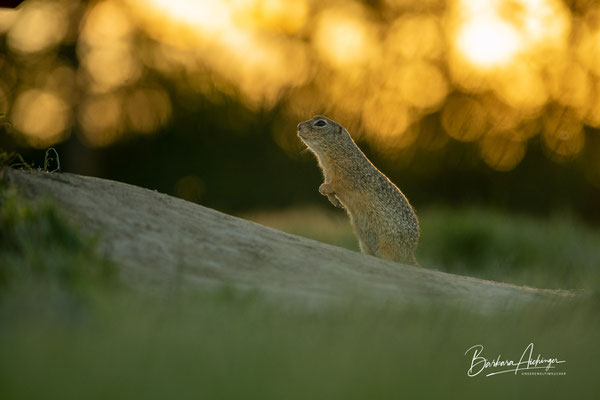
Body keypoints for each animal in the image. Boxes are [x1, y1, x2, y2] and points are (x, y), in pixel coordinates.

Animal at [298, 115, 420, 266]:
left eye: (321, 123)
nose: (298, 126)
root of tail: (410, 255)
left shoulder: (348, 177)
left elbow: (338, 185)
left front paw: (324, 189)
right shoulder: (328, 175)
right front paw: (331, 198)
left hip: (388, 246)